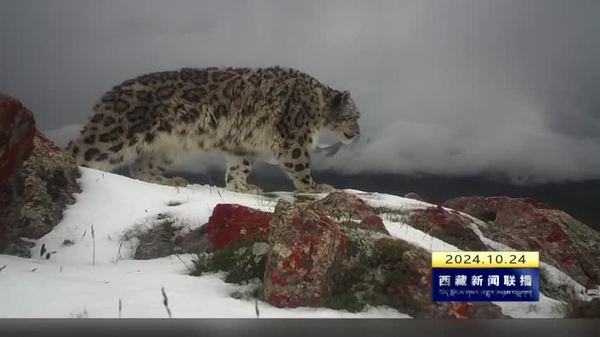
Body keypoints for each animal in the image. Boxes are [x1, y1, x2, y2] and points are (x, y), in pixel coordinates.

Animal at [68, 66, 364, 192]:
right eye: (355, 116)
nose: (359, 133)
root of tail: (110, 93)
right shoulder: (294, 139)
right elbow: (301, 166)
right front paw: (316, 187)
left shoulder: (242, 145)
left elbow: (238, 168)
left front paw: (242, 187)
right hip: (113, 134)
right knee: (79, 151)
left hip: (166, 149)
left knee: (141, 168)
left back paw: (170, 181)